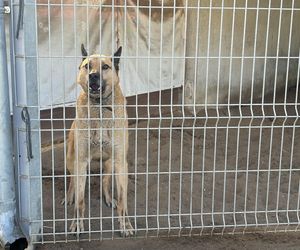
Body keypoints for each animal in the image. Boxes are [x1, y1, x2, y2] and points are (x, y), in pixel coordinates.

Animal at [62, 44, 133, 236]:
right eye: (87, 66)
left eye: (105, 67)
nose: (93, 76)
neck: (100, 107)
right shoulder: (80, 161)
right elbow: (80, 201)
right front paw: (77, 223)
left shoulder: (120, 162)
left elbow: (123, 199)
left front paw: (125, 224)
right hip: (71, 159)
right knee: (72, 180)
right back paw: (69, 196)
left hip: (109, 163)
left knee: (105, 181)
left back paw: (108, 198)